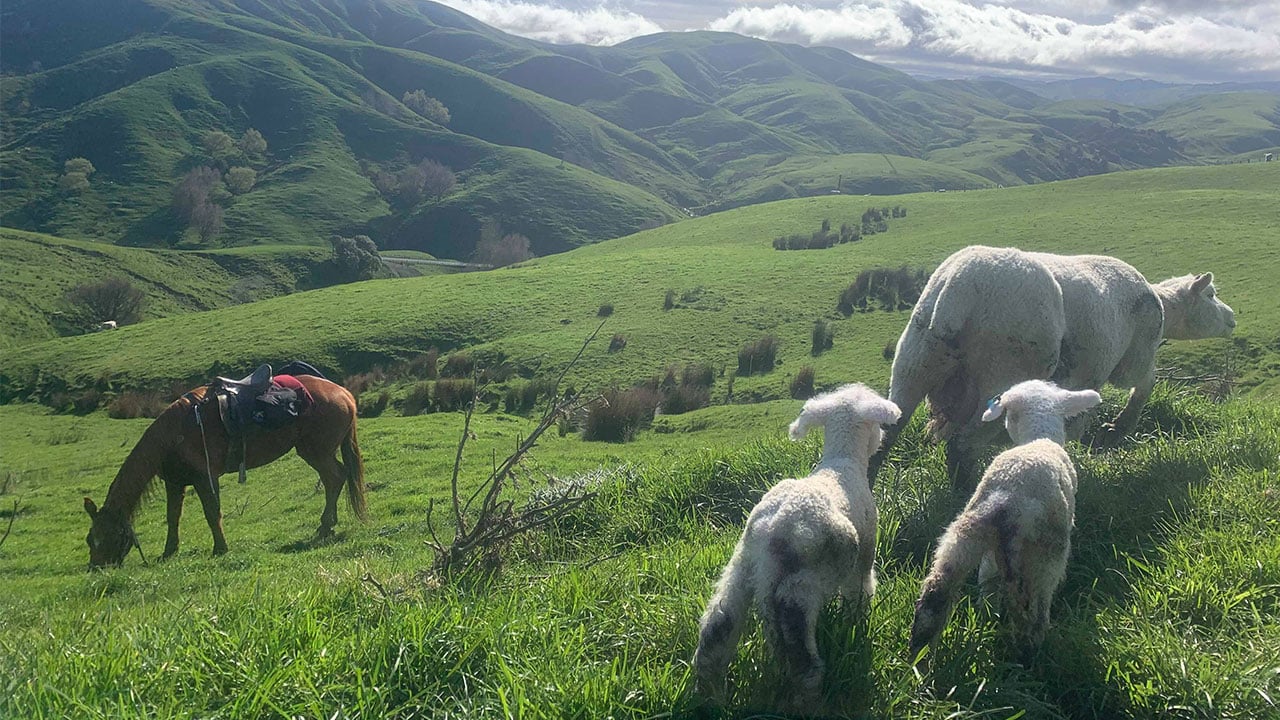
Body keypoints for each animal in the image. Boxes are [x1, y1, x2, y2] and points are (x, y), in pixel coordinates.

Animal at [693, 384, 900, 709]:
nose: (880, 441)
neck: (842, 462)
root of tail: (771, 534)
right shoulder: (865, 554)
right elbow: (860, 594)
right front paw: (856, 624)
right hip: (799, 586)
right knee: (802, 661)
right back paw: (809, 701)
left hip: (741, 569)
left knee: (717, 629)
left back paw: (709, 696)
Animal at [871, 245, 1235, 489]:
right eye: (1211, 295)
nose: (1232, 318)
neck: (1162, 305)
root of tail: (957, 289)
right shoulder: (1132, 357)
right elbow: (1143, 387)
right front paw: (1114, 431)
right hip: (1006, 368)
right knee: (962, 447)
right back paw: (965, 497)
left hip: (916, 359)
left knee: (885, 437)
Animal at [907, 380, 1101, 669]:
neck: (1038, 437)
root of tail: (1006, 502)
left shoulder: (988, 555)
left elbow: (986, 583)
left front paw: (985, 615)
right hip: (1043, 557)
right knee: (1033, 611)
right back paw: (1029, 654)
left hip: (961, 540)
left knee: (934, 597)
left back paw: (918, 660)